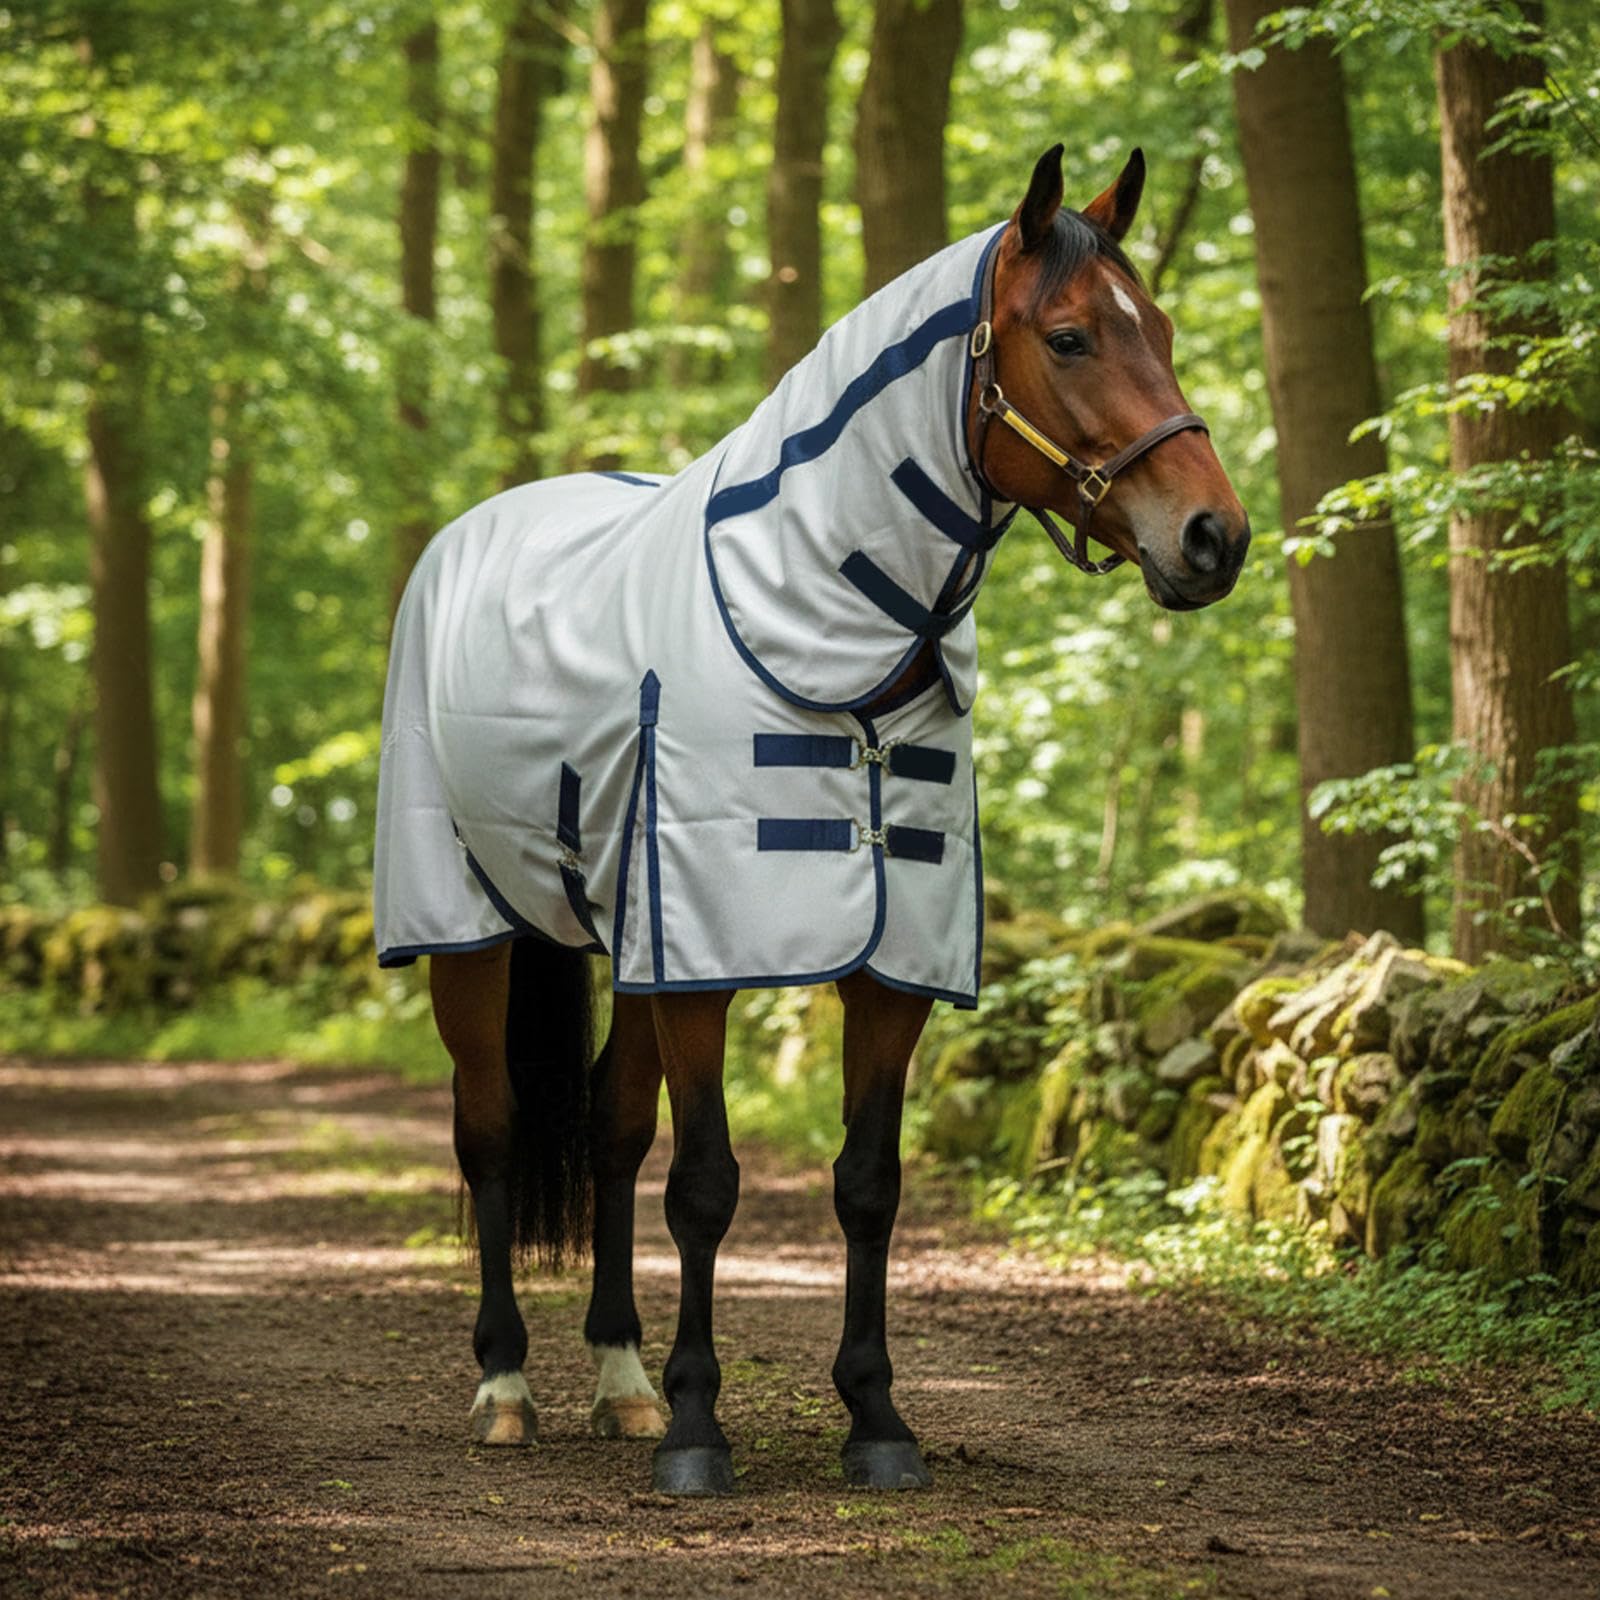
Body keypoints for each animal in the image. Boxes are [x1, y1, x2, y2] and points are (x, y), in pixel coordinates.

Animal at [374, 143, 1250, 1497]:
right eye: (1068, 337)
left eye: (1155, 328)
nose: (1214, 536)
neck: (817, 632)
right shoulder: (704, 957)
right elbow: (705, 1184)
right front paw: (697, 1428)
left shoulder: (881, 967)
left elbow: (865, 1184)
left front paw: (873, 1416)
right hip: (468, 931)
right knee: (493, 1131)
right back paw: (507, 1384)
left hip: (626, 942)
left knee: (610, 1133)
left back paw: (617, 1377)